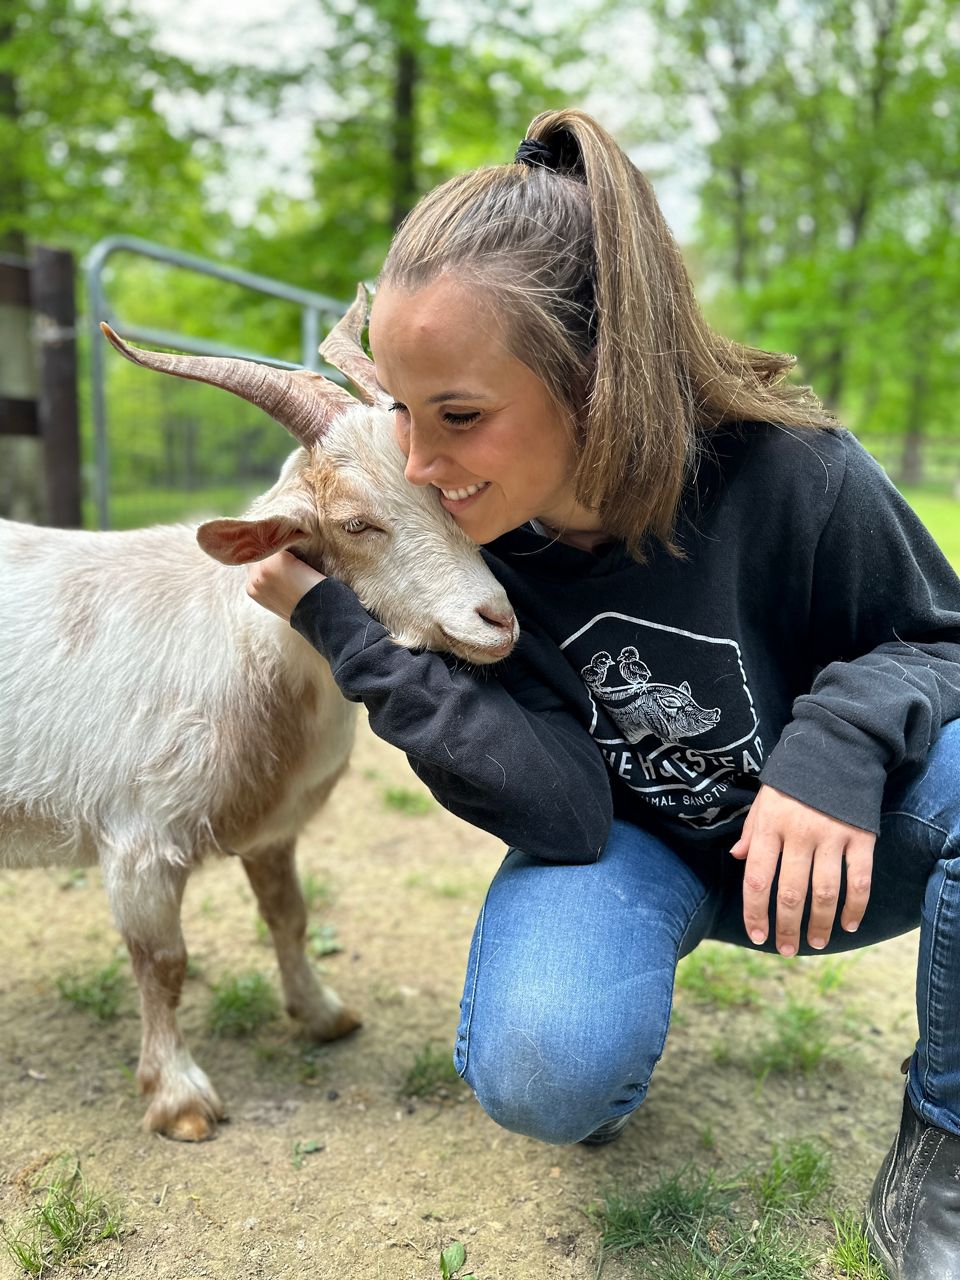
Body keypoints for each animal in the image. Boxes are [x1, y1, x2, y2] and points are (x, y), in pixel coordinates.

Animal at [0, 290, 519, 1141]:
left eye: (448, 491)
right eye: (357, 523)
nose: (496, 621)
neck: (237, 648)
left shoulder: (273, 830)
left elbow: (290, 916)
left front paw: (322, 1014)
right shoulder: (138, 841)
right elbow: (163, 964)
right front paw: (179, 1100)